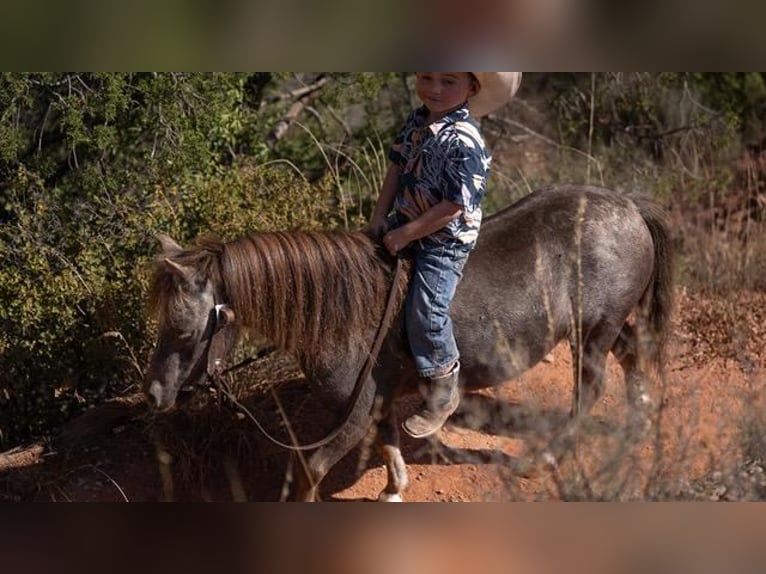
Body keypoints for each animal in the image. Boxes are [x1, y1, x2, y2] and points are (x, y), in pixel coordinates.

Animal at [144, 187, 672, 502]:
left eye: (185, 331)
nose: (154, 395)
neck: (340, 309)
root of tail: (629, 205)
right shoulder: (376, 402)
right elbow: (388, 445)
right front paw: (394, 490)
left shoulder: (355, 412)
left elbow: (312, 468)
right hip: (608, 327)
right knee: (634, 358)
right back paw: (639, 423)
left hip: (592, 333)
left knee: (592, 386)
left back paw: (544, 458)